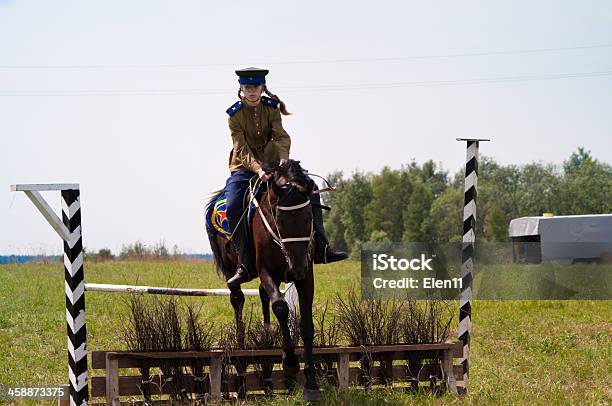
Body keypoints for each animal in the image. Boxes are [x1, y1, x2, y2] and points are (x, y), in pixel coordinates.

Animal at [206, 160, 320, 402]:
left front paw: (312, 384)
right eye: (280, 220)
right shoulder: (267, 270)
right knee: (237, 298)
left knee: (261, 294)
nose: (296, 268)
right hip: (232, 270)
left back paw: (266, 332)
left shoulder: (307, 275)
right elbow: (281, 307)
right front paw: (290, 362)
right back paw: (241, 341)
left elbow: (306, 325)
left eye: (309, 218)